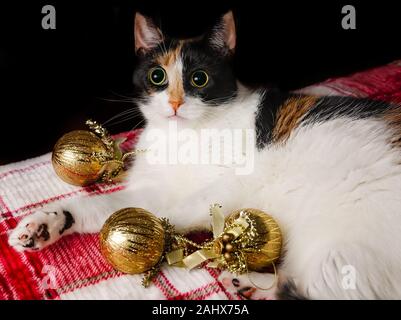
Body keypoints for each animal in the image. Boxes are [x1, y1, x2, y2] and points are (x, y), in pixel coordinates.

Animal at [8, 10, 400, 300]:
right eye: (157, 76)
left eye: (199, 79)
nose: (175, 104)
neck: (182, 137)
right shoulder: (154, 188)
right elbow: (105, 208)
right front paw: (45, 224)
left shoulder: (226, 186)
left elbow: (173, 212)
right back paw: (248, 285)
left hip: (340, 247)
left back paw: (253, 286)